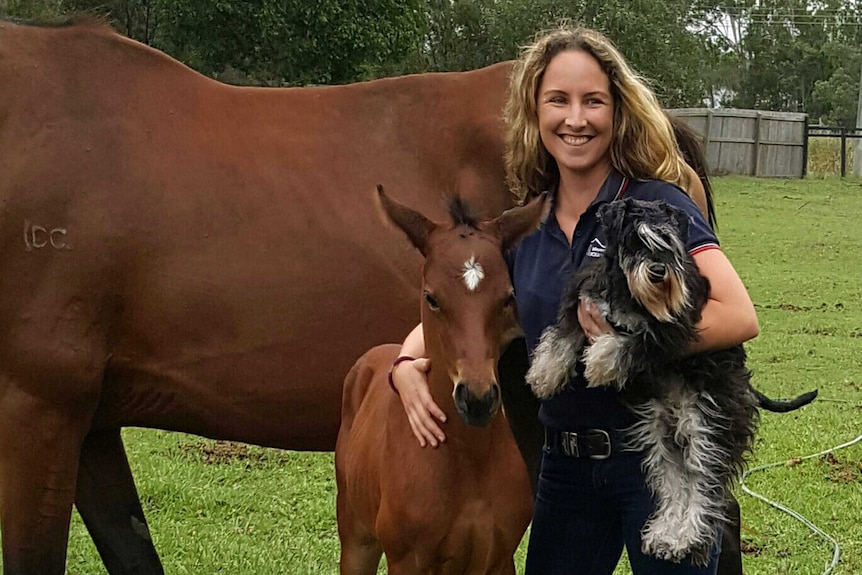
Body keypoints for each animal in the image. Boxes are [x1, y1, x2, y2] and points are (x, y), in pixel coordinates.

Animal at [336, 188, 544, 572]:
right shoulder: (407, 560)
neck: (468, 460)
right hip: (356, 539)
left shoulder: (499, 558)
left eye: (508, 297)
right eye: (431, 298)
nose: (477, 399)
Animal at [528, 198, 816, 568]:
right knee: (675, 482)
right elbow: (562, 336)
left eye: (669, 242)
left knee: (704, 487)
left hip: (707, 426)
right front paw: (544, 374)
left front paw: (601, 361)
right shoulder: (585, 298)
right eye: (634, 240)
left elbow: (632, 341)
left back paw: (689, 540)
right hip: (659, 433)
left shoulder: (671, 330)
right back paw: (665, 536)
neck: (628, 292)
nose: (658, 271)